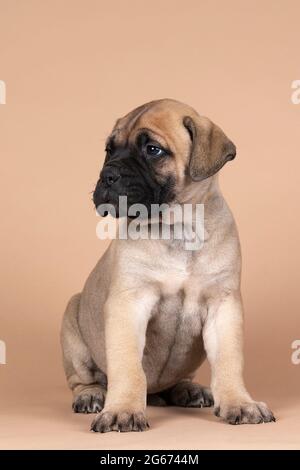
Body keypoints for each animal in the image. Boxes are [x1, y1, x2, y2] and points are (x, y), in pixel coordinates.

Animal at [60, 99, 274, 434]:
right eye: (109, 149)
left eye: (153, 149)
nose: (107, 175)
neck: (178, 227)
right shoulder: (129, 304)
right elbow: (128, 366)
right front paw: (122, 410)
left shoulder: (223, 305)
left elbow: (229, 360)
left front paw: (240, 402)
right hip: (72, 320)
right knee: (84, 378)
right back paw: (91, 395)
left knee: (179, 380)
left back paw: (188, 390)